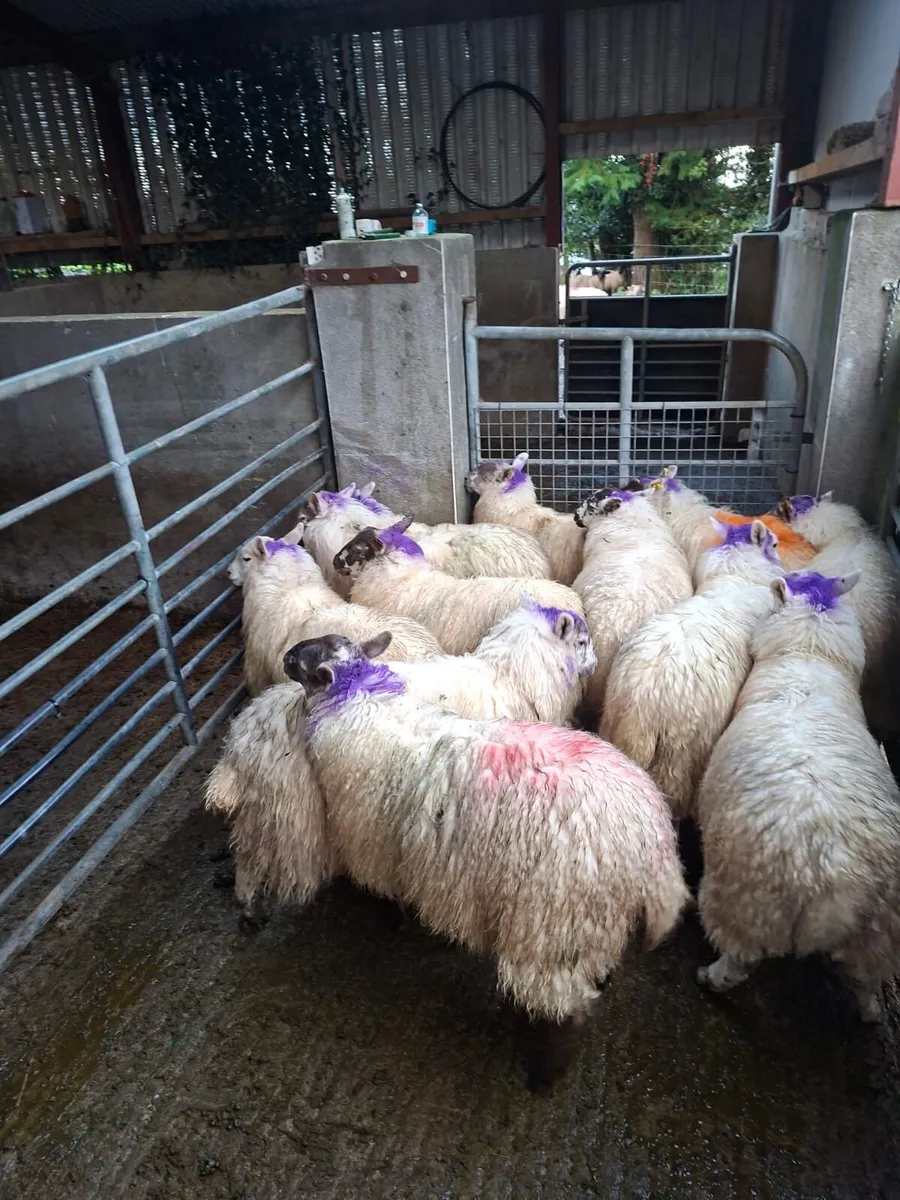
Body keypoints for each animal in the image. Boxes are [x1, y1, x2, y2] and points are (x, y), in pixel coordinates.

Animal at [286, 632, 689, 1091]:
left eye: (303, 661)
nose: (284, 658)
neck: (358, 697)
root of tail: (652, 841)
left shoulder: (374, 844)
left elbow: (388, 896)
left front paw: (391, 919)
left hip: (552, 929)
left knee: (566, 1010)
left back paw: (544, 1076)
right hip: (591, 927)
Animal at [696, 569, 900, 1023]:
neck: (809, 660)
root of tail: (836, 876)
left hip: (747, 902)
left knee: (739, 960)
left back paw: (710, 977)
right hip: (880, 931)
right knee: (867, 979)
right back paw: (871, 1011)